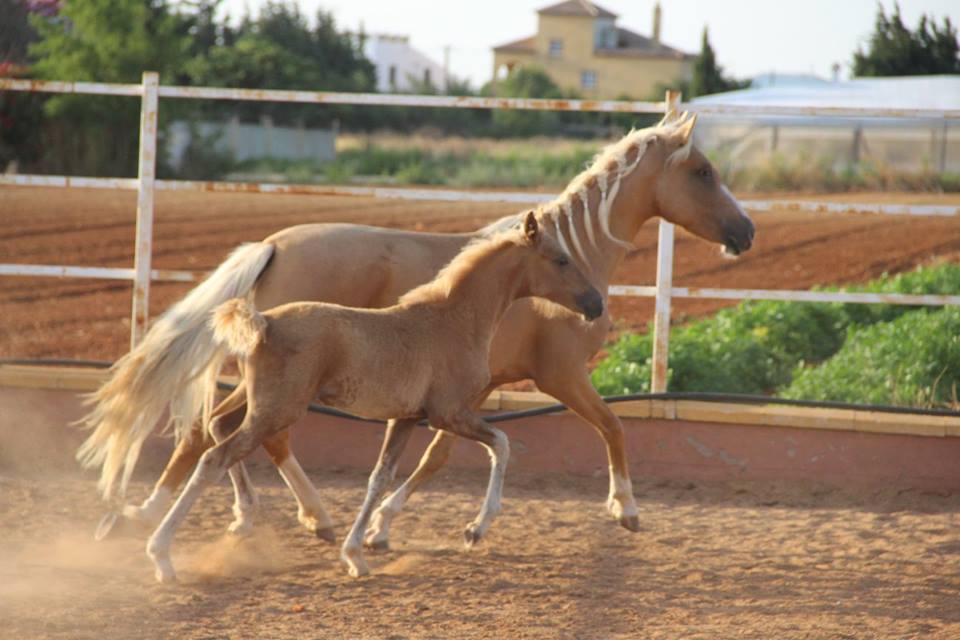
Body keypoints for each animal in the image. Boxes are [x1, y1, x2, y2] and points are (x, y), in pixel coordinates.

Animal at [145, 212, 603, 582]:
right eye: (561, 259)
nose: (596, 304)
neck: (453, 319)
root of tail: (263, 322)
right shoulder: (449, 413)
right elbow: (503, 444)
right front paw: (475, 529)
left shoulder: (406, 418)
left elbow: (379, 477)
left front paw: (356, 554)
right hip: (276, 410)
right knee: (216, 456)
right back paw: (162, 556)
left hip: (257, 403)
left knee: (217, 432)